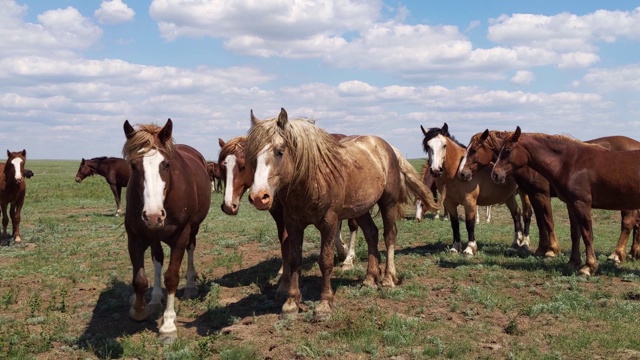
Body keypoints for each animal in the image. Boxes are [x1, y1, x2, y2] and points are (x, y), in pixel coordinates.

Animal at [120, 119, 210, 344]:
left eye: (166, 164)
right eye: (134, 165)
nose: (153, 216)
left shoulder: (181, 235)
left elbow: (171, 277)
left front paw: (168, 325)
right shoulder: (136, 236)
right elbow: (140, 279)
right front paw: (140, 310)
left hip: (192, 229)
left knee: (191, 249)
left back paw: (190, 287)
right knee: (157, 258)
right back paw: (155, 299)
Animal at [242, 107, 438, 320]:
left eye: (279, 151)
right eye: (252, 157)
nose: (259, 196)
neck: (312, 179)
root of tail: (389, 148)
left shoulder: (329, 222)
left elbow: (326, 261)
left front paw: (324, 304)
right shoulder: (293, 224)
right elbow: (294, 260)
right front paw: (291, 304)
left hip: (388, 203)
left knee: (389, 235)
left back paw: (387, 279)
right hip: (360, 209)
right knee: (372, 234)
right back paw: (369, 279)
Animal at [418, 124, 528, 256]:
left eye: (444, 145)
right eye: (428, 146)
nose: (435, 170)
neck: (455, 173)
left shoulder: (469, 201)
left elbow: (470, 223)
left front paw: (470, 248)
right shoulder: (449, 203)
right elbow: (454, 224)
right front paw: (455, 247)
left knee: (527, 214)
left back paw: (525, 243)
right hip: (509, 197)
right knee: (516, 213)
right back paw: (516, 241)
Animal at [458, 131, 640, 260]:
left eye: (474, 149)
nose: (462, 173)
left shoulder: (542, 195)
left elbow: (548, 221)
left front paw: (552, 250)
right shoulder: (533, 195)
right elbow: (540, 222)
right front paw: (541, 248)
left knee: (628, 222)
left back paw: (617, 254)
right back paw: (633, 253)